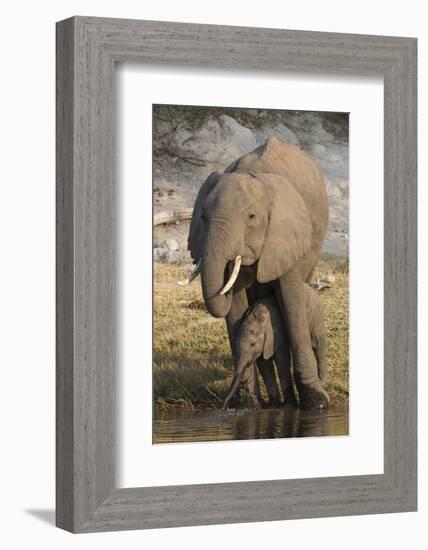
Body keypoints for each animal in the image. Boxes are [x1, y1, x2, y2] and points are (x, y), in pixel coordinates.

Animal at [186, 138, 330, 410]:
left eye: (251, 217)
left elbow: (291, 301)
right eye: (203, 216)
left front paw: (316, 403)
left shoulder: (285, 235)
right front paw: (247, 405)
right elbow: (236, 307)